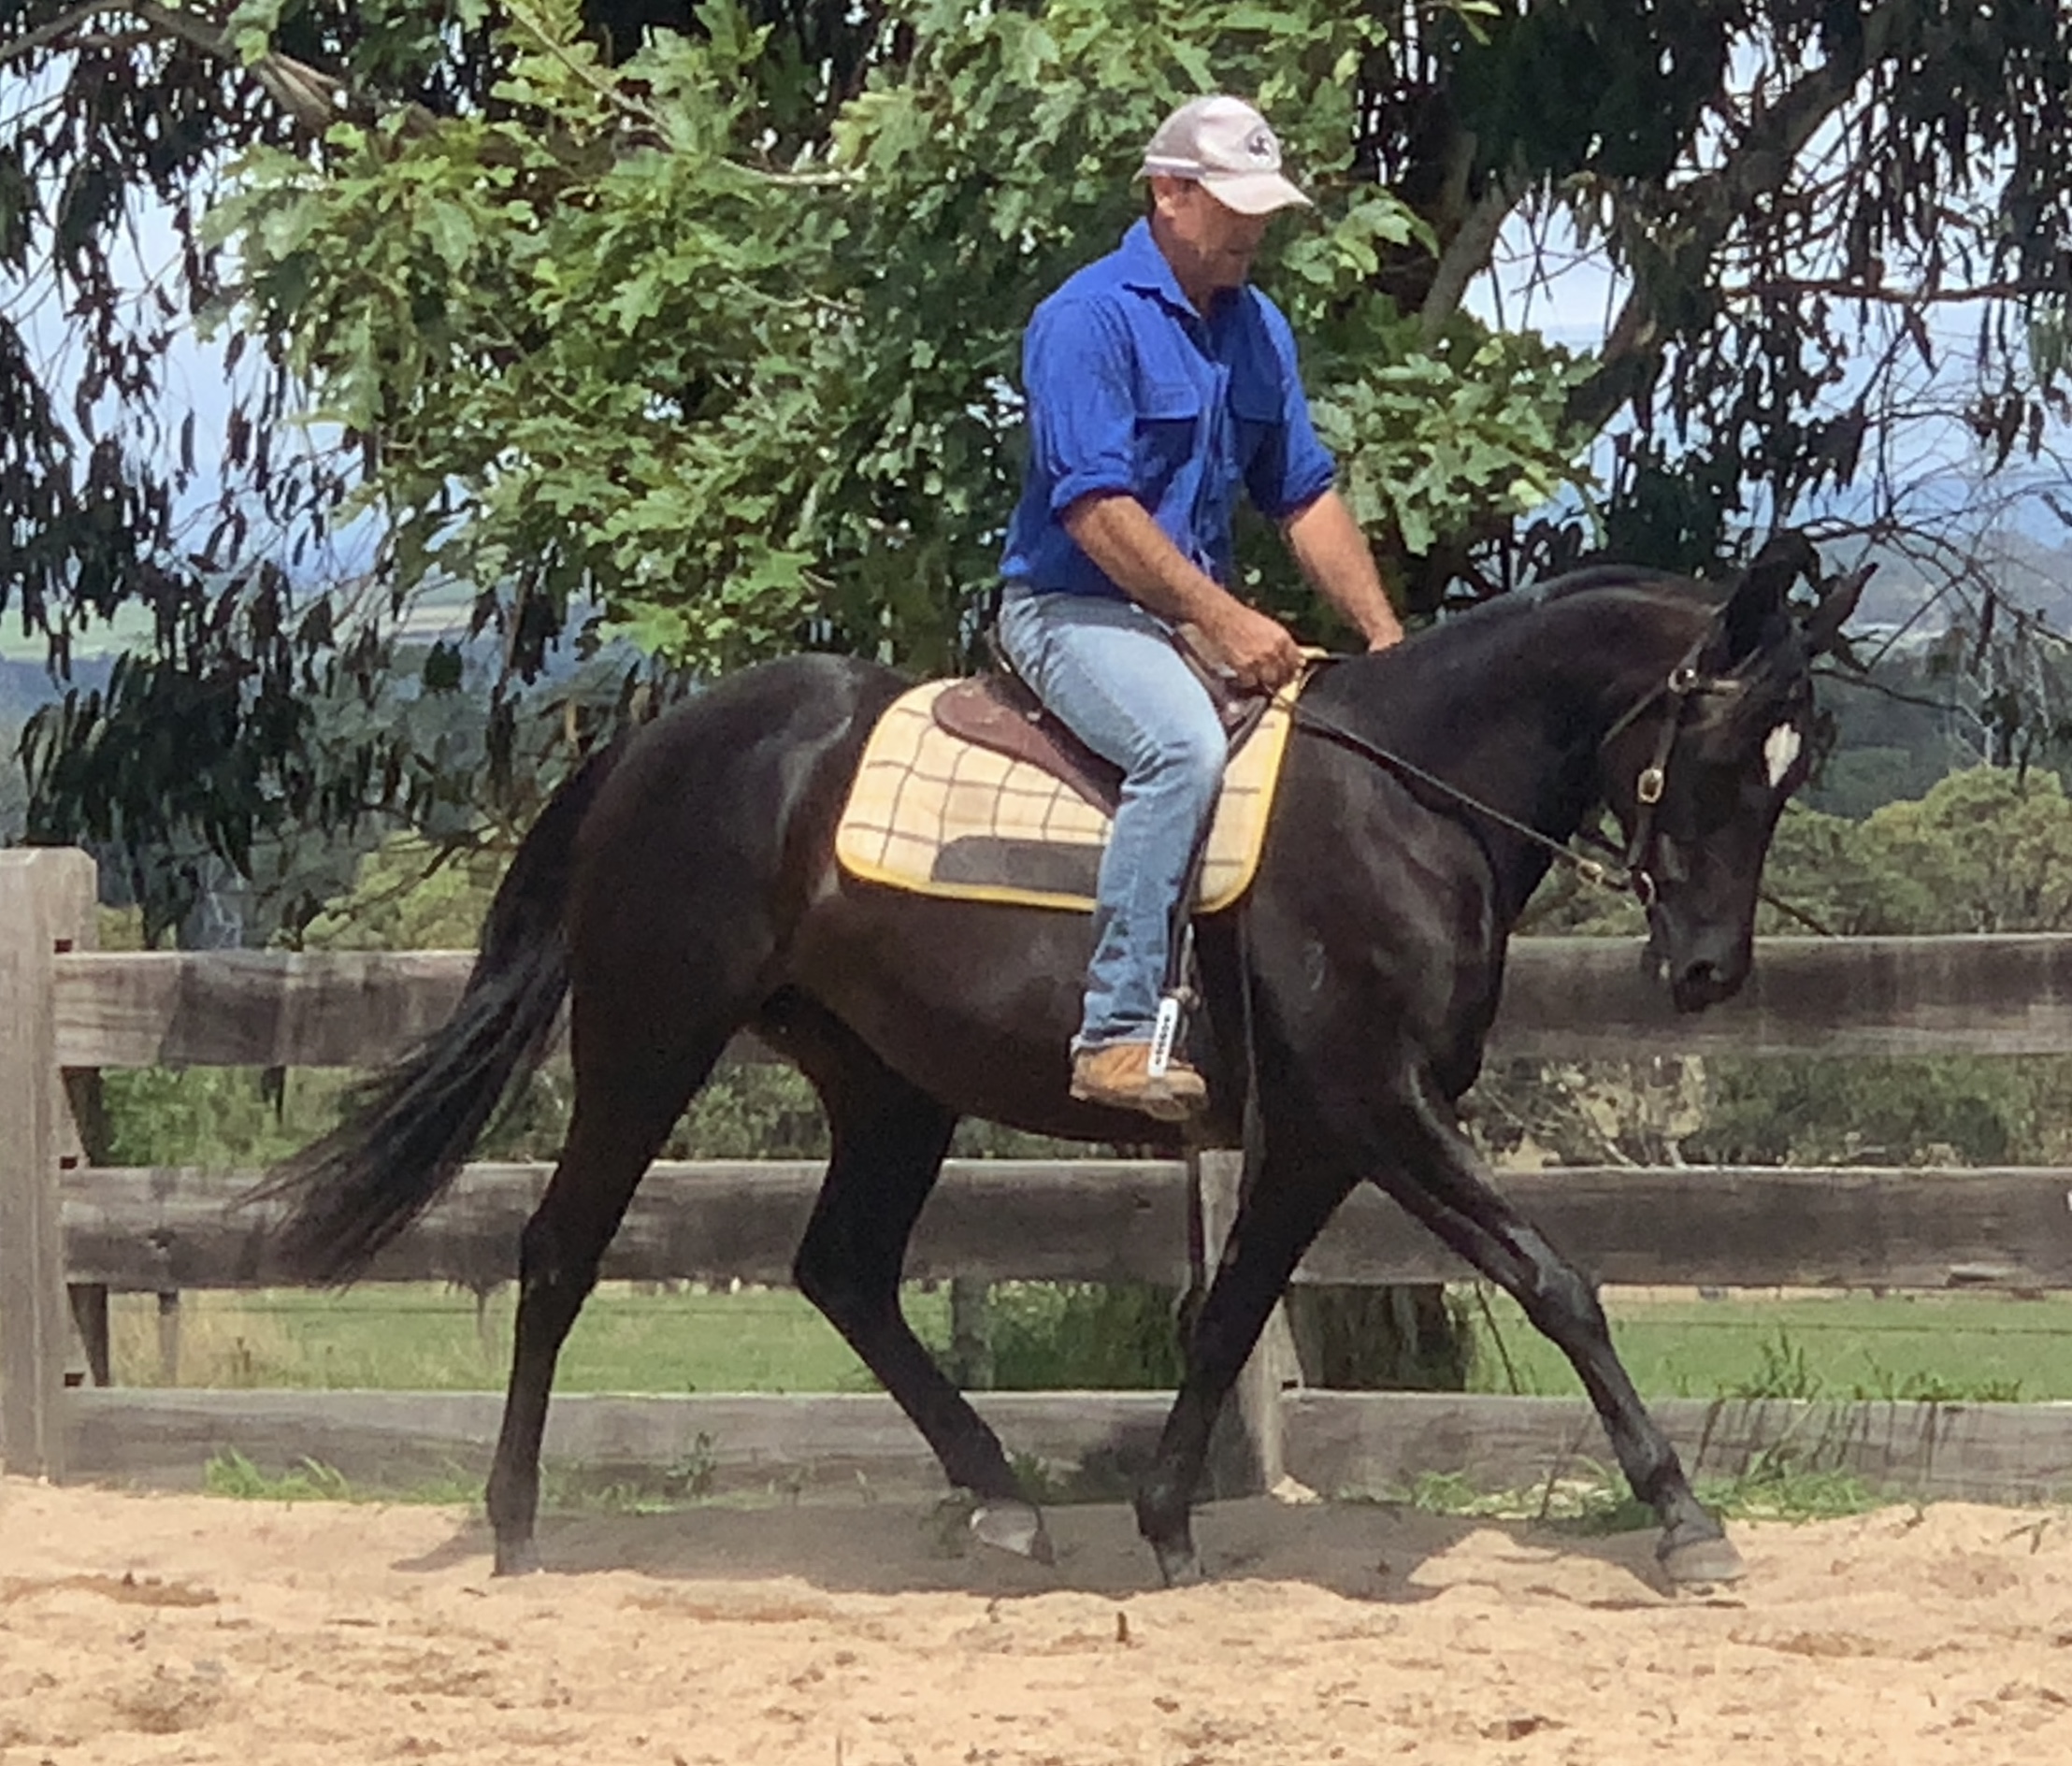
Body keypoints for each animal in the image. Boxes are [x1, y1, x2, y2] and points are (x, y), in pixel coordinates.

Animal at [257, 548, 1861, 1587]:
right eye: (1723, 751)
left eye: (1794, 767)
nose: (1709, 974)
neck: (1405, 803)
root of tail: (661, 748)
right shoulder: (1379, 1107)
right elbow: (1557, 1280)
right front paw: (1685, 1521)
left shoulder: (1320, 1133)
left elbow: (1227, 1318)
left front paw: (1166, 1525)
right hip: (651, 1037)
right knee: (560, 1251)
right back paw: (517, 1524)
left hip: (889, 1085)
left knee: (843, 1270)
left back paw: (1005, 1502)